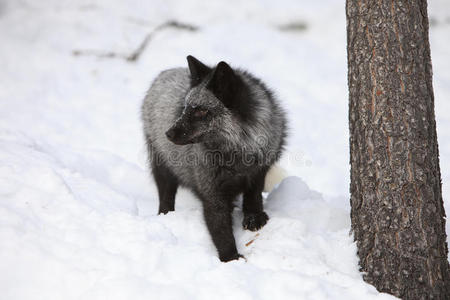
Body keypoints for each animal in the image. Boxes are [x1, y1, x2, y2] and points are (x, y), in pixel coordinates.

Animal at [142, 55, 286, 262]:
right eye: (185, 108)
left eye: (201, 111)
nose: (168, 134)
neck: (238, 153)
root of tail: (165, 72)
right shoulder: (212, 193)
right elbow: (221, 229)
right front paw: (231, 258)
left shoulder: (258, 172)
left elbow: (254, 196)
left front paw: (254, 218)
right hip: (162, 167)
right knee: (165, 197)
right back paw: (165, 216)